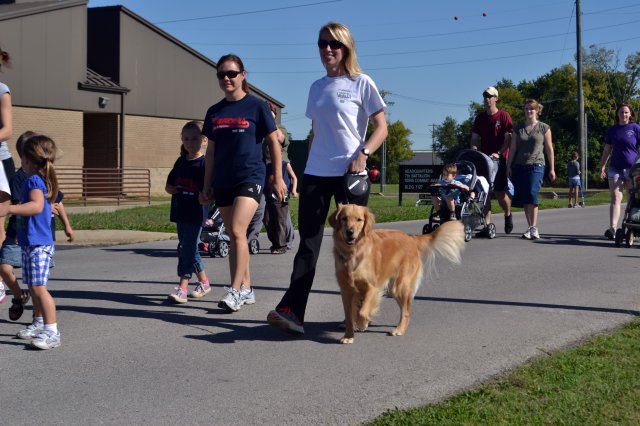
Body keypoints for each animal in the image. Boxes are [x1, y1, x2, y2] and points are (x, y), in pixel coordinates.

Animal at [330, 203, 464, 342]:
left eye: (359, 220)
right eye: (344, 218)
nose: (350, 232)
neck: (353, 252)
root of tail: (411, 238)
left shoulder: (372, 287)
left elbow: (363, 311)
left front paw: (363, 323)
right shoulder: (346, 290)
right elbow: (349, 315)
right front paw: (348, 335)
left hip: (400, 286)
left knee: (406, 311)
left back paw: (399, 329)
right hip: (393, 289)